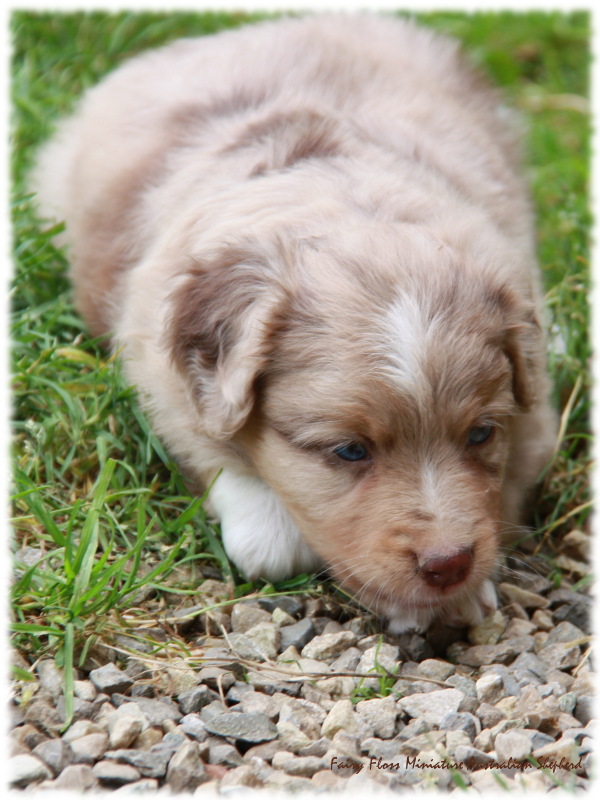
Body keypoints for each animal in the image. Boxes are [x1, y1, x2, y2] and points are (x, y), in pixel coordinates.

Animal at [31, 14, 556, 632]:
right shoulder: (158, 368)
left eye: (481, 434)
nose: (447, 563)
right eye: (348, 451)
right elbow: (252, 514)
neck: (347, 203)